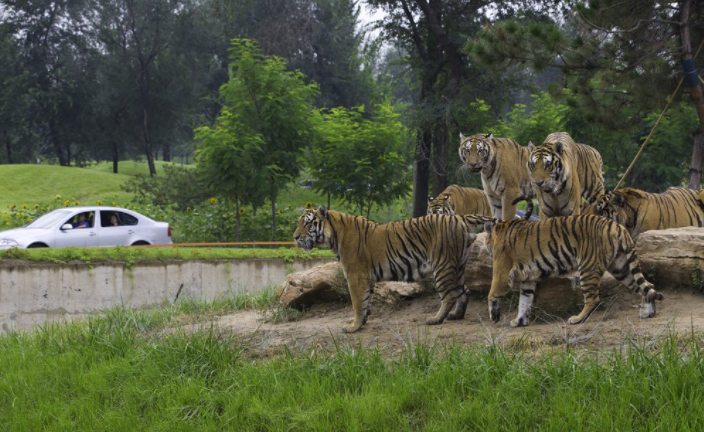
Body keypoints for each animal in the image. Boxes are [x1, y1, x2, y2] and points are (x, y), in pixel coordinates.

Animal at [292, 205, 490, 330]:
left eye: (308, 223)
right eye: (298, 222)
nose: (295, 237)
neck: (333, 235)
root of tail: (458, 216)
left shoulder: (356, 275)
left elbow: (357, 302)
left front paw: (353, 327)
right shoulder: (367, 277)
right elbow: (365, 301)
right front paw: (362, 322)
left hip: (443, 264)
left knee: (449, 295)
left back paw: (435, 319)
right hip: (459, 265)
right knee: (464, 291)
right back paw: (456, 315)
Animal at [482, 214, 664, 326]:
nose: (487, 251)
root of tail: (617, 225)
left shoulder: (501, 272)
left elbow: (492, 293)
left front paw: (494, 316)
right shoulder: (528, 279)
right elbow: (524, 301)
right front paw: (519, 321)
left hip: (588, 267)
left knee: (593, 299)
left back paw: (577, 319)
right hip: (621, 267)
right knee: (648, 286)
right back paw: (649, 313)